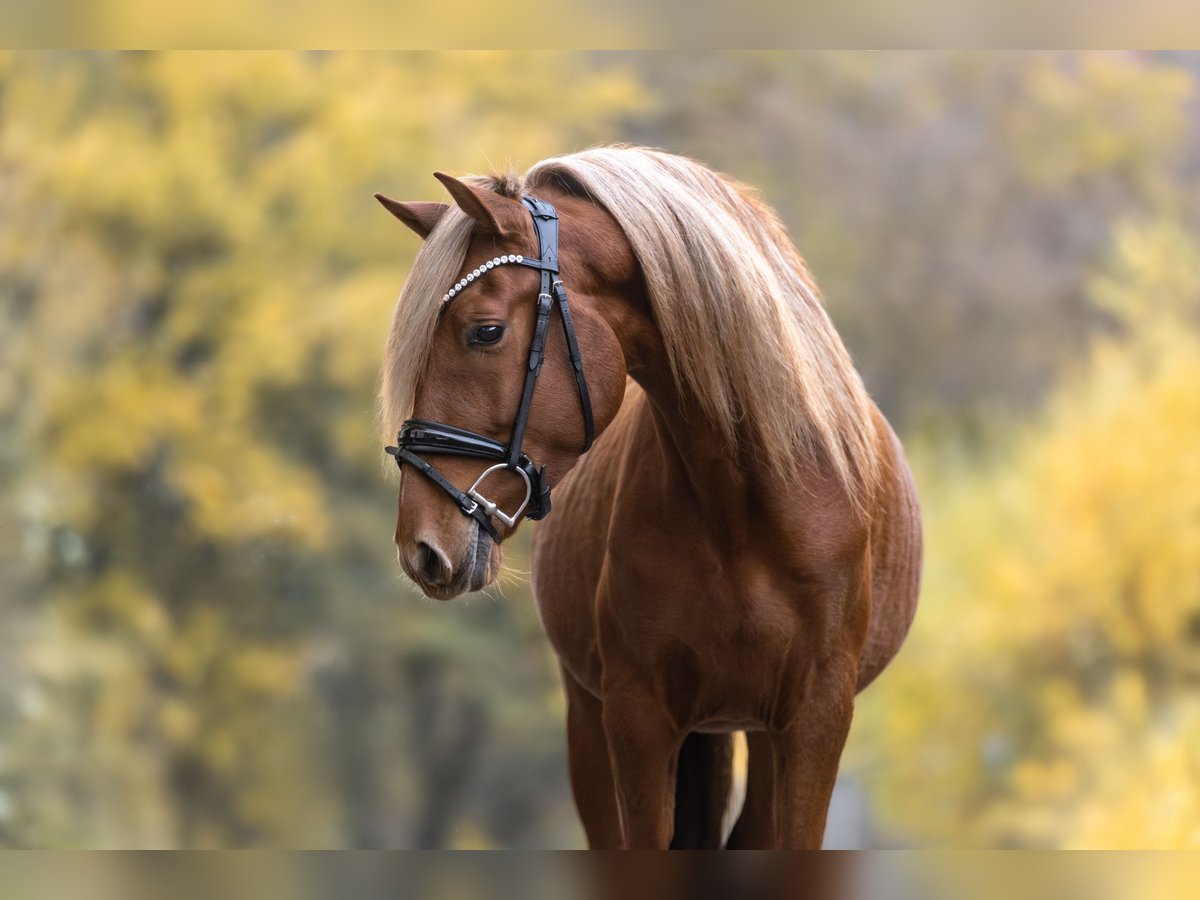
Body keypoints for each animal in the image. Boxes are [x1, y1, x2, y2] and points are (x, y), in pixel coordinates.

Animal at [376, 147, 922, 849]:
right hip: (594, 726)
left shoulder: (815, 720)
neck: (742, 506)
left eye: (486, 332)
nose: (422, 545)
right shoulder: (637, 720)